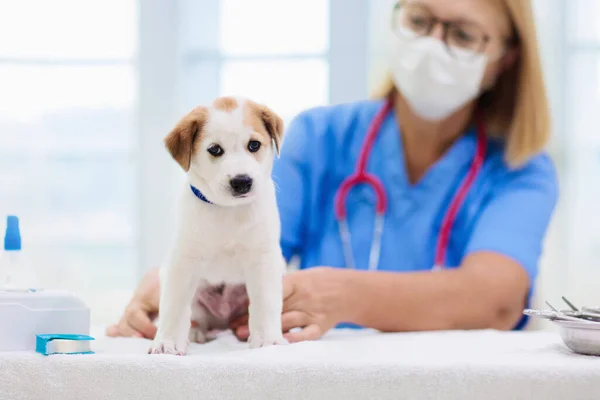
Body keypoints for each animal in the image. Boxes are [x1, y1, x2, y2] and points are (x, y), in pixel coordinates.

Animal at [152, 97, 288, 356]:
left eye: (254, 145)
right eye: (215, 149)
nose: (242, 181)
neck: (228, 210)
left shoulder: (264, 259)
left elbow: (265, 302)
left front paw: (267, 340)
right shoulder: (182, 262)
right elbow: (174, 307)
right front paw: (167, 342)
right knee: (194, 316)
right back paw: (195, 333)